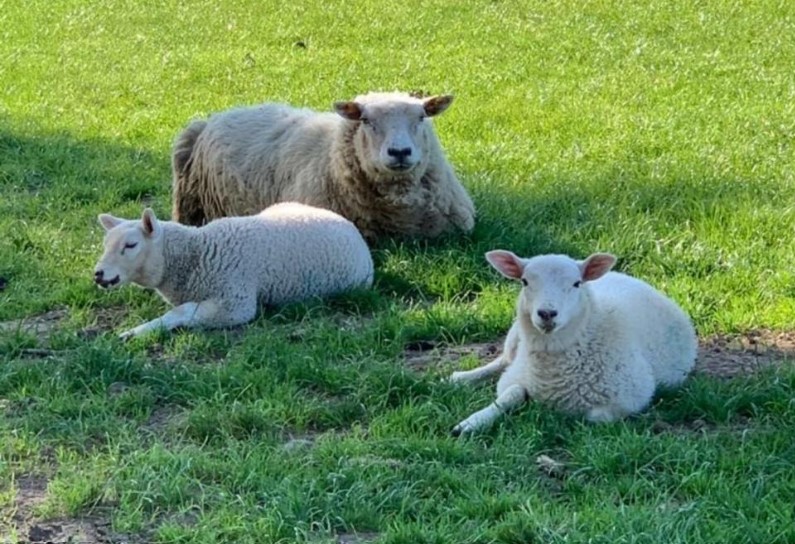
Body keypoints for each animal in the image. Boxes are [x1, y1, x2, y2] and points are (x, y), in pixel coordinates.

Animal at [93, 202, 374, 340]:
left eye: (131, 245)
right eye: (105, 244)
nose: (98, 274)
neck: (198, 252)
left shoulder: (236, 303)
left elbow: (181, 312)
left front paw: (135, 332)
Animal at [449, 251, 697, 435]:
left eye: (576, 283)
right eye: (525, 281)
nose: (547, 313)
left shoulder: (629, 398)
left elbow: (594, 417)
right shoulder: (515, 376)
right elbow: (511, 393)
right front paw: (471, 422)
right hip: (514, 336)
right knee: (501, 361)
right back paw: (459, 378)